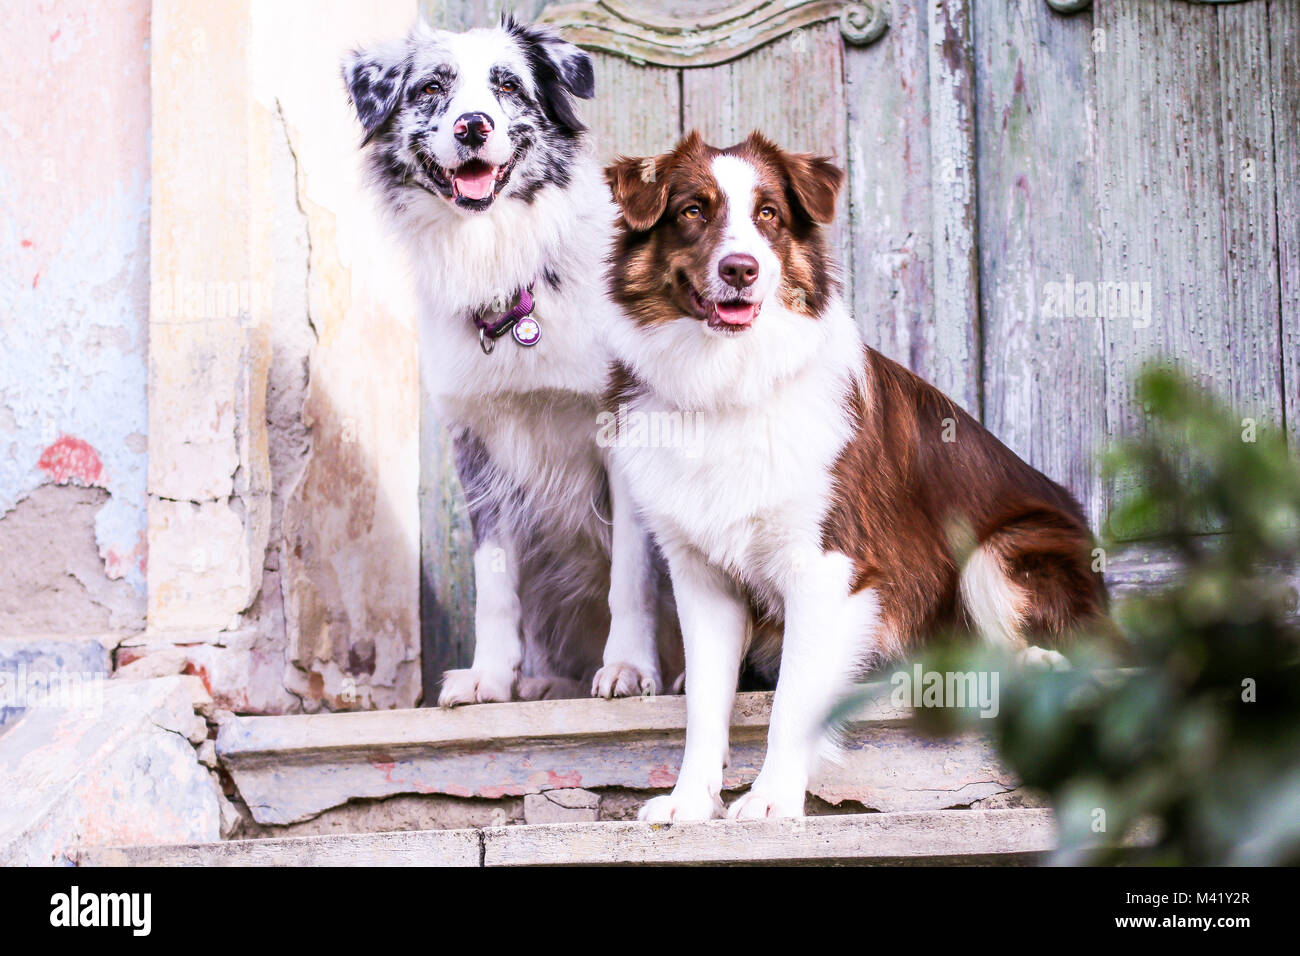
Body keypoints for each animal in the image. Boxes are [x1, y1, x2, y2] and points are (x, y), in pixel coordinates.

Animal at [603, 132, 1112, 822]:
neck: (731, 385)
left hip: (999, 550)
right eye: (691, 211)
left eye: (769, 214)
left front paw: (772, 800)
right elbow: (704, 705)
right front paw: (688, 802)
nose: (741, 269)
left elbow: (793, 702)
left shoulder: (829, 566)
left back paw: (1037, 659)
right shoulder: (701, 576)